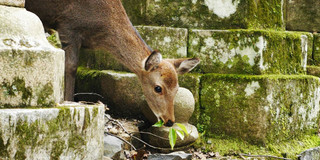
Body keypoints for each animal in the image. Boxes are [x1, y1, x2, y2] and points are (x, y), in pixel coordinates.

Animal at [25, 0, 200, 127]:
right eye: (158, 88)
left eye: (177, 89)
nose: (170, 121)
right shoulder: (68, 26)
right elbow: (70, 66)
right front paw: (69, 101)